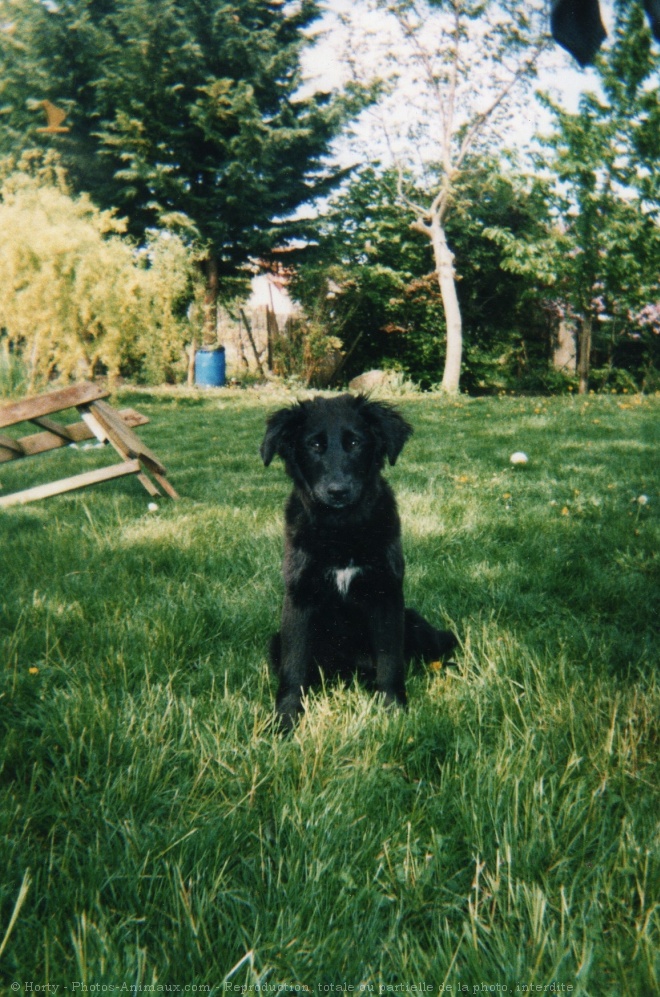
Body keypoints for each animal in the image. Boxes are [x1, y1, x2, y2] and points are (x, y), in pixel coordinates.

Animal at [260, 392, 456, 728]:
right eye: (314, 445)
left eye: (354, 443)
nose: (337, 492)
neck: (341, 529)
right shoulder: (299, 598)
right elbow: (294, 668)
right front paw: (286, 718)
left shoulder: (386, 595)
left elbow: (390, 662)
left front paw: (393, 710)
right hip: (276, 641)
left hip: (414, 621)